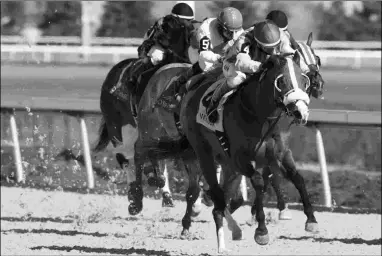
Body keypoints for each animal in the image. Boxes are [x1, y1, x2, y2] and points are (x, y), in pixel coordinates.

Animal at [181, 54, 318, 254]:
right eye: (281, 81)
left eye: (303, 80)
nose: (300, 111)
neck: (260, 116)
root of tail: (193, 89)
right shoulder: (240, 158)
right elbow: (259, 183)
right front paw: (261, 231)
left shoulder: (281, 153)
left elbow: (297, 178)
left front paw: (311, 220)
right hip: (203, 152)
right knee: (215, 197)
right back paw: (221, 244)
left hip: (227, 164)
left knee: (221, 200)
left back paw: (233, 231)